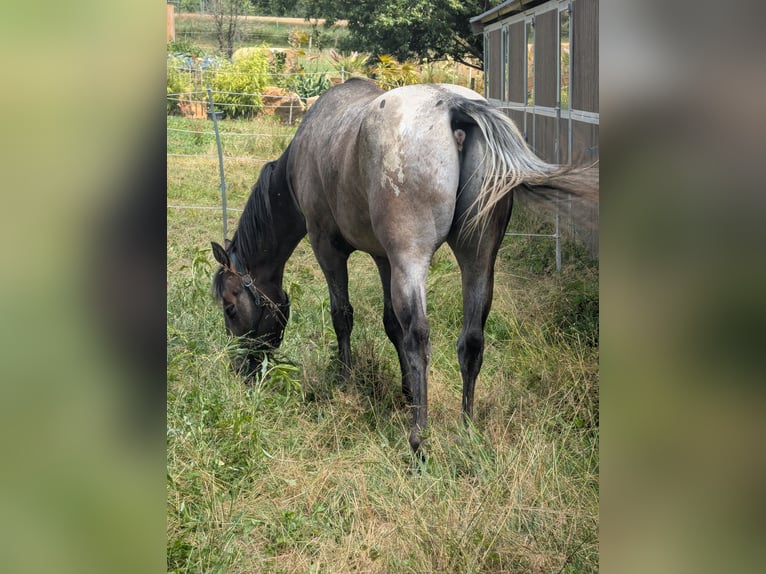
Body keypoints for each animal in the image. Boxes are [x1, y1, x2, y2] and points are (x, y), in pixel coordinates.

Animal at [212, 78, 597, 455]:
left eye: (230, 308)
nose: (240, 370)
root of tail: (454, 106)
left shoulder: (328, 249)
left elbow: (344, 316)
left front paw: (345, 382)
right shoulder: (384, 259)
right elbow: (390, 324)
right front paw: (408, 391)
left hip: (411, 258)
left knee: (419, 336)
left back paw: (418, 441)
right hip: (477, 257)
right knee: (471, 338)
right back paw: (467, 430)